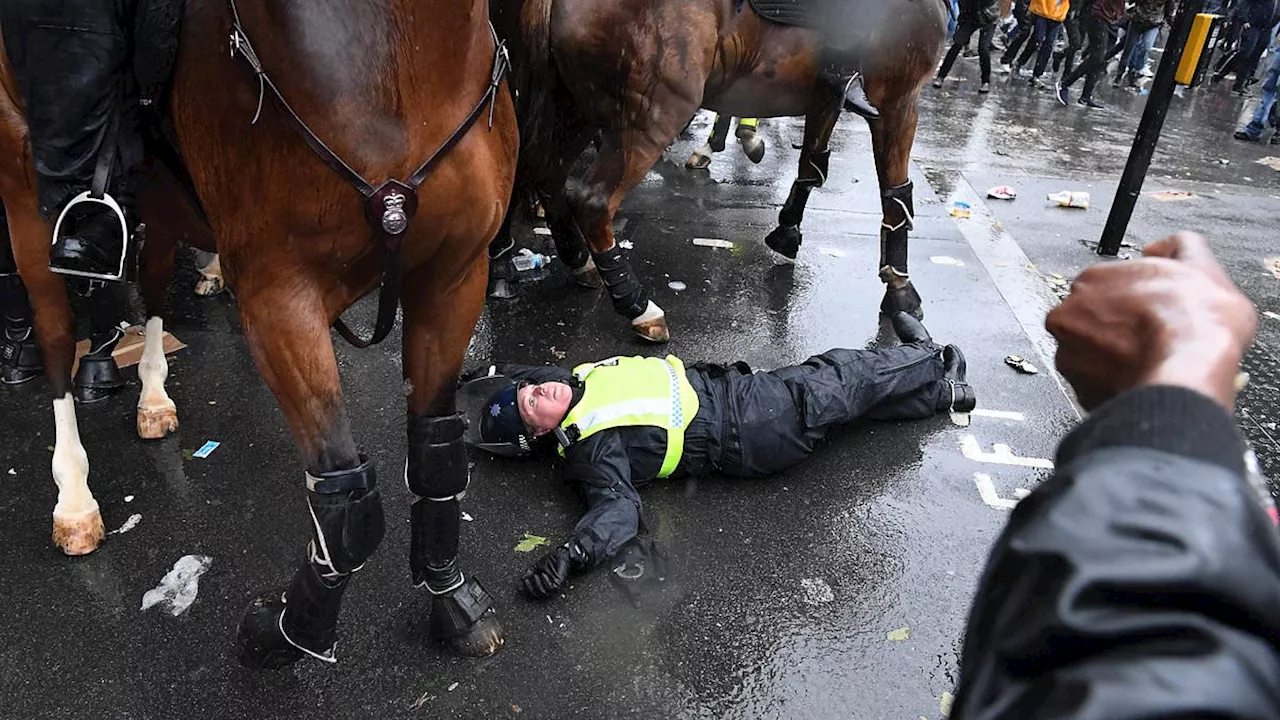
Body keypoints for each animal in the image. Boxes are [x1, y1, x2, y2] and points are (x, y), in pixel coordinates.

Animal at [2, 0, 519, 661]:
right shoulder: (280, 299)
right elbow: (344, 502)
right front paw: (286, 631)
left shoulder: (455, 274)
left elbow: (438, 457)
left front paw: (451, 598)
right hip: (23, 196)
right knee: (56, 338)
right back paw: (73, 497)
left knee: (153, 281)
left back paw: (153, 396)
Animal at [494, 0, 947, 338]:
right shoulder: (898, 101)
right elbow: (895, 195)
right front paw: (900, 290)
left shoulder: (826, 100)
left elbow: (811, 167)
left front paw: (786, 232)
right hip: (652, 113)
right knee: (592, 199)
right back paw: (637, 306)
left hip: (576, 107)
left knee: (542, 172)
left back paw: (575, 261)